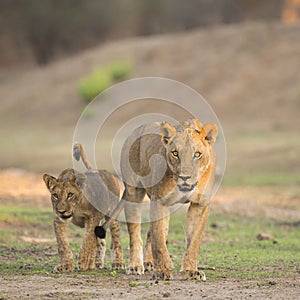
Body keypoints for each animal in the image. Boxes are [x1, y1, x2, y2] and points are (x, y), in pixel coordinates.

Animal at [120, 118, 217, 280]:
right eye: (175, 153)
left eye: (197, 154)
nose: (185, 177)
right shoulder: (159, 201)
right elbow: (159, 240)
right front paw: (162, 271)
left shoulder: (200, 204)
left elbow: (194, 240)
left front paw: (191, 270)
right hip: (133, 193)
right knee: (135, 234)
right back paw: (135, 265)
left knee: (151, 232)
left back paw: (148, 262)